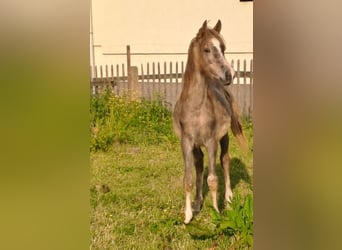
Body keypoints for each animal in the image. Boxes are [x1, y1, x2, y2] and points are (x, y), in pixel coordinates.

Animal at [174, 19, 246, 223]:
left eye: (223, 48)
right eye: (206, 49)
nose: (230, 75)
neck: (196, 108)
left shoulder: (211, 141)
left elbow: (213, 180)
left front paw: (216, 212)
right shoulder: (187, 142)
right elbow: (188, 179)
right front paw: (188, 216)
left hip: (224, 137)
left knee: (225, 161)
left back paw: (228, 198)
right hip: (197, 146)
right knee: (199, 167)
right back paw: (198, 202)